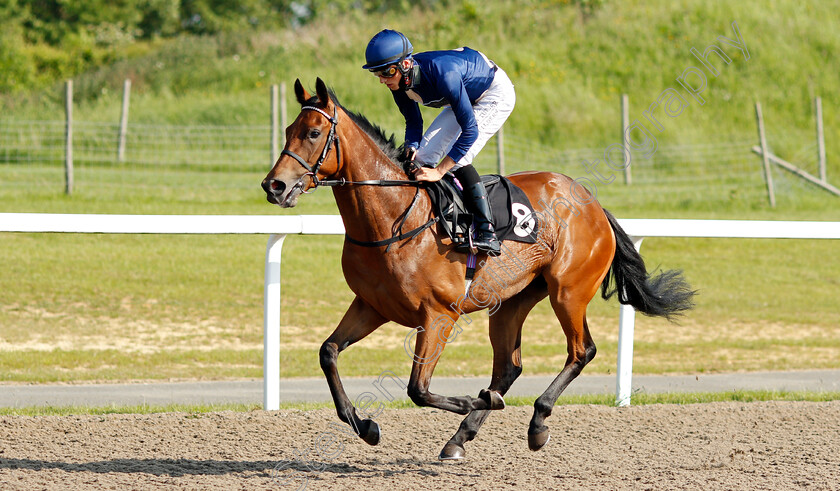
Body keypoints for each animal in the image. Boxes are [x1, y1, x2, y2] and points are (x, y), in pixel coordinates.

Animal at [260, 78, 692, 462]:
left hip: (568, 291)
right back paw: (461, 437)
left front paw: (473, 399)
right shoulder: (372, 305)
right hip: (511, 301)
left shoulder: (439, 315)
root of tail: (593, 203)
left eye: (314, 132)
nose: (273, 186)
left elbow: (418, 389)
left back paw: (536, 422)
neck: (394, 220)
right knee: (509, 367)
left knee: (580, 350)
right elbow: (328, 352)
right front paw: (364, 426)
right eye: (288, 130)